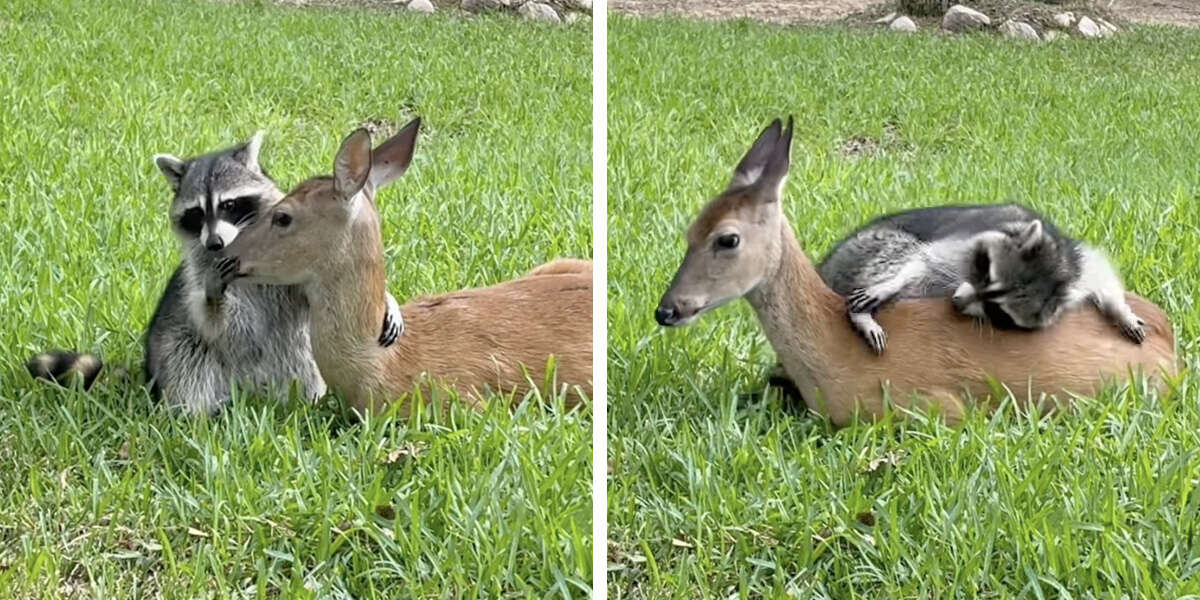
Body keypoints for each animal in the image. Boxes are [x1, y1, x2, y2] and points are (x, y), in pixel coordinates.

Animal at [27, 131, 403, 412]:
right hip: (177, 352)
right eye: (196, 213)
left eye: (230, 205)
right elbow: (226, 324)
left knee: (300, 359)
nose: (214, 243)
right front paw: (214, 297)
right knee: (191, 362)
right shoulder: (201, 276)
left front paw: (389, 299)